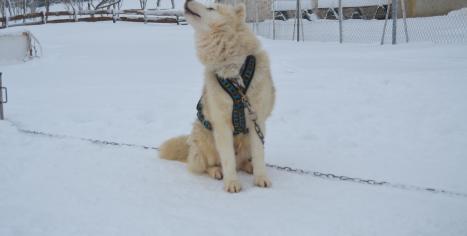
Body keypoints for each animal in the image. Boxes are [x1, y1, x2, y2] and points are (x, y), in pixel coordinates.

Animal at [161, 0, 276, 193]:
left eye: (211, 8)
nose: (186, 1)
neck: (234, 74)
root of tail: (189, 145)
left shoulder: (257, 120)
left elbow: (259, 154)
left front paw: (261, 177)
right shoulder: (222, 126)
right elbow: (227, 159)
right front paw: (232, 183)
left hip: (245, 141)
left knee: (242, 161)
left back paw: (249, 166)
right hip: (206, 139)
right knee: (208, 165)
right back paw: (216, 171)